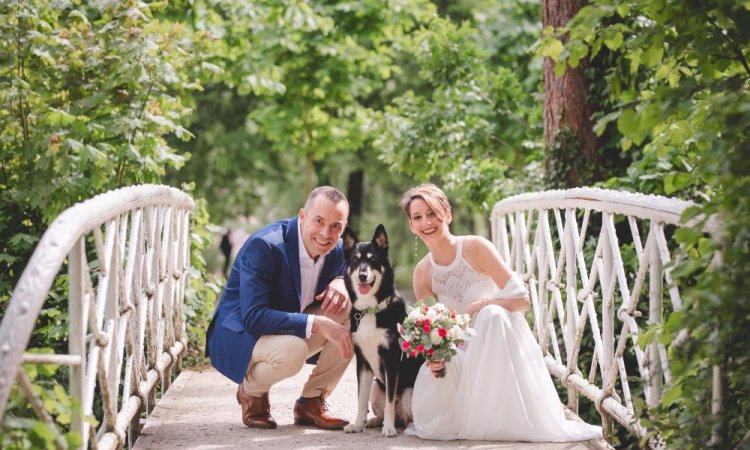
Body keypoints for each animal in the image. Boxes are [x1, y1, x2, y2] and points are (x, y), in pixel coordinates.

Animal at [340, 225, 424, 436]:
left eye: (373, 260)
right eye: (355, 260)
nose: (362, 276)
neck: (371, 309)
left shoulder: (391, 359)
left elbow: (389, 402)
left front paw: (388, 428)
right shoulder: (362, 362)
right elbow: (361, 399)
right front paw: (358, 424)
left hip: (409, 392)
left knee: (406, 415)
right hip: (376, 388)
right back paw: (373, 421)